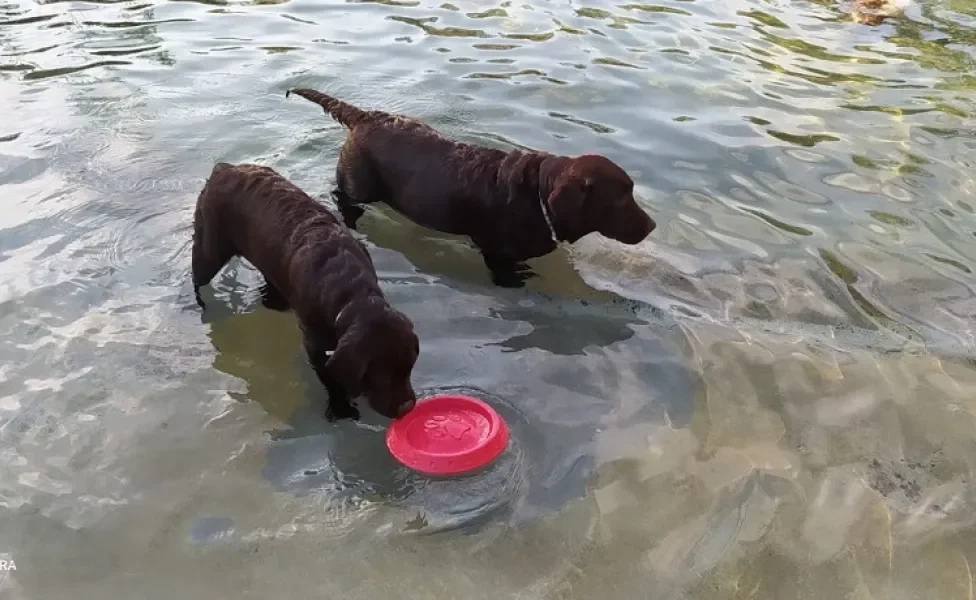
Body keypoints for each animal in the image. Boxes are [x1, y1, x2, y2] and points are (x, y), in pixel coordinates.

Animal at [192, 162, 420, 420]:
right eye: (381, 376)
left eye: (409, 368)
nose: (407, 407)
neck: (348, 287)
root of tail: (224, 167)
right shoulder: (313, 343)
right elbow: (329, 376)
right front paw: (340, 407)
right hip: (209, 248)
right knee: (197, 277)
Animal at [288, 86, 656, 288]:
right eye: (620, 198)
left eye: (631, 190)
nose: (652, 226)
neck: (536, 195)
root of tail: (364, 116)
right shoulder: (499, 256)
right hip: (357, 184)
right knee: (344, 198)